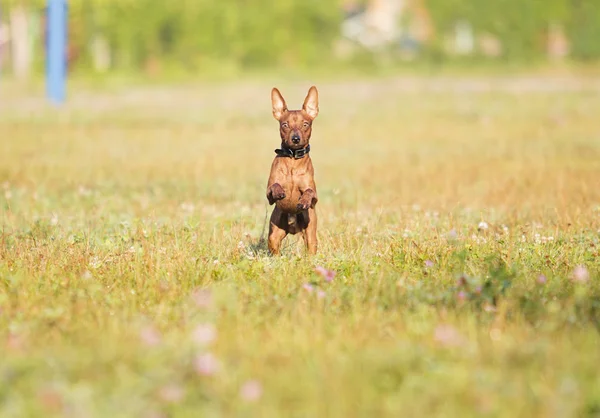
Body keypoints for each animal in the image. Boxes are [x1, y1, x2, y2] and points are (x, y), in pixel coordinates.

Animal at [266, 85, 318, 255]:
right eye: (285, 125)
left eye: (305, 124)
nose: (295, 139)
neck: (293, 161)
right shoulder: (268, 195)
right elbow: (275, 185)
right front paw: (280, 192)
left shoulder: (315, 195)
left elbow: (309, 192)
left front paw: (303, 201)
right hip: (274, 234)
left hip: (310, 234)